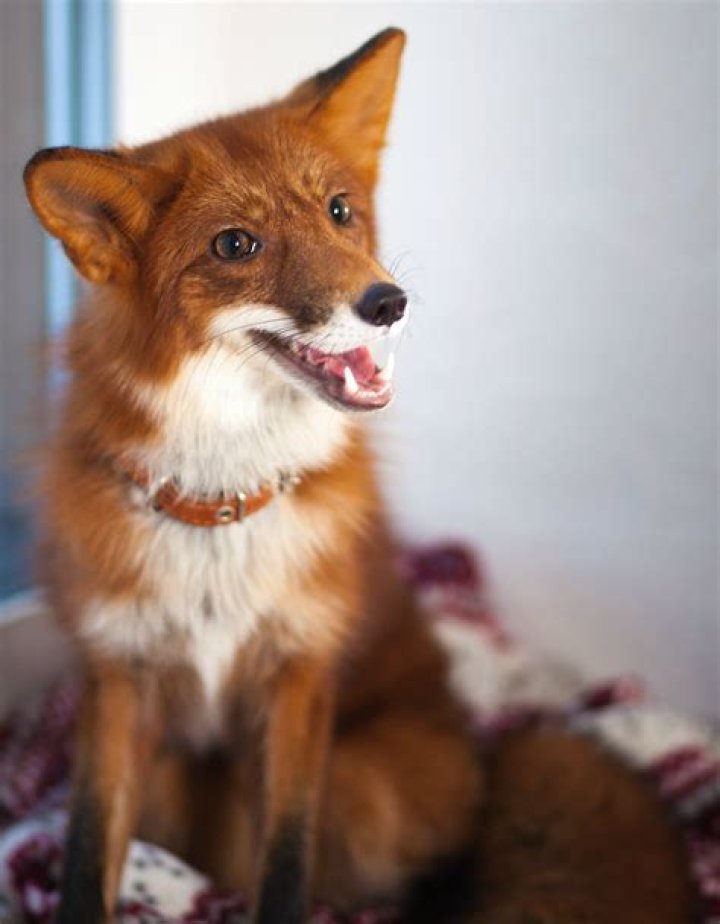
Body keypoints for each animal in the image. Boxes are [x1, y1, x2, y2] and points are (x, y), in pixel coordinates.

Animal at [22, 27, 694, 924]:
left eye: (339, 210)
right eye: (235, 244)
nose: (388, 302)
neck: (224, 506)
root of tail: (482, 757)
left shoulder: (301, 678)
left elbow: (287, 860)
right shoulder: (116, 678)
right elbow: (86, 851)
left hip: (365, 790)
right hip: (176, 778)